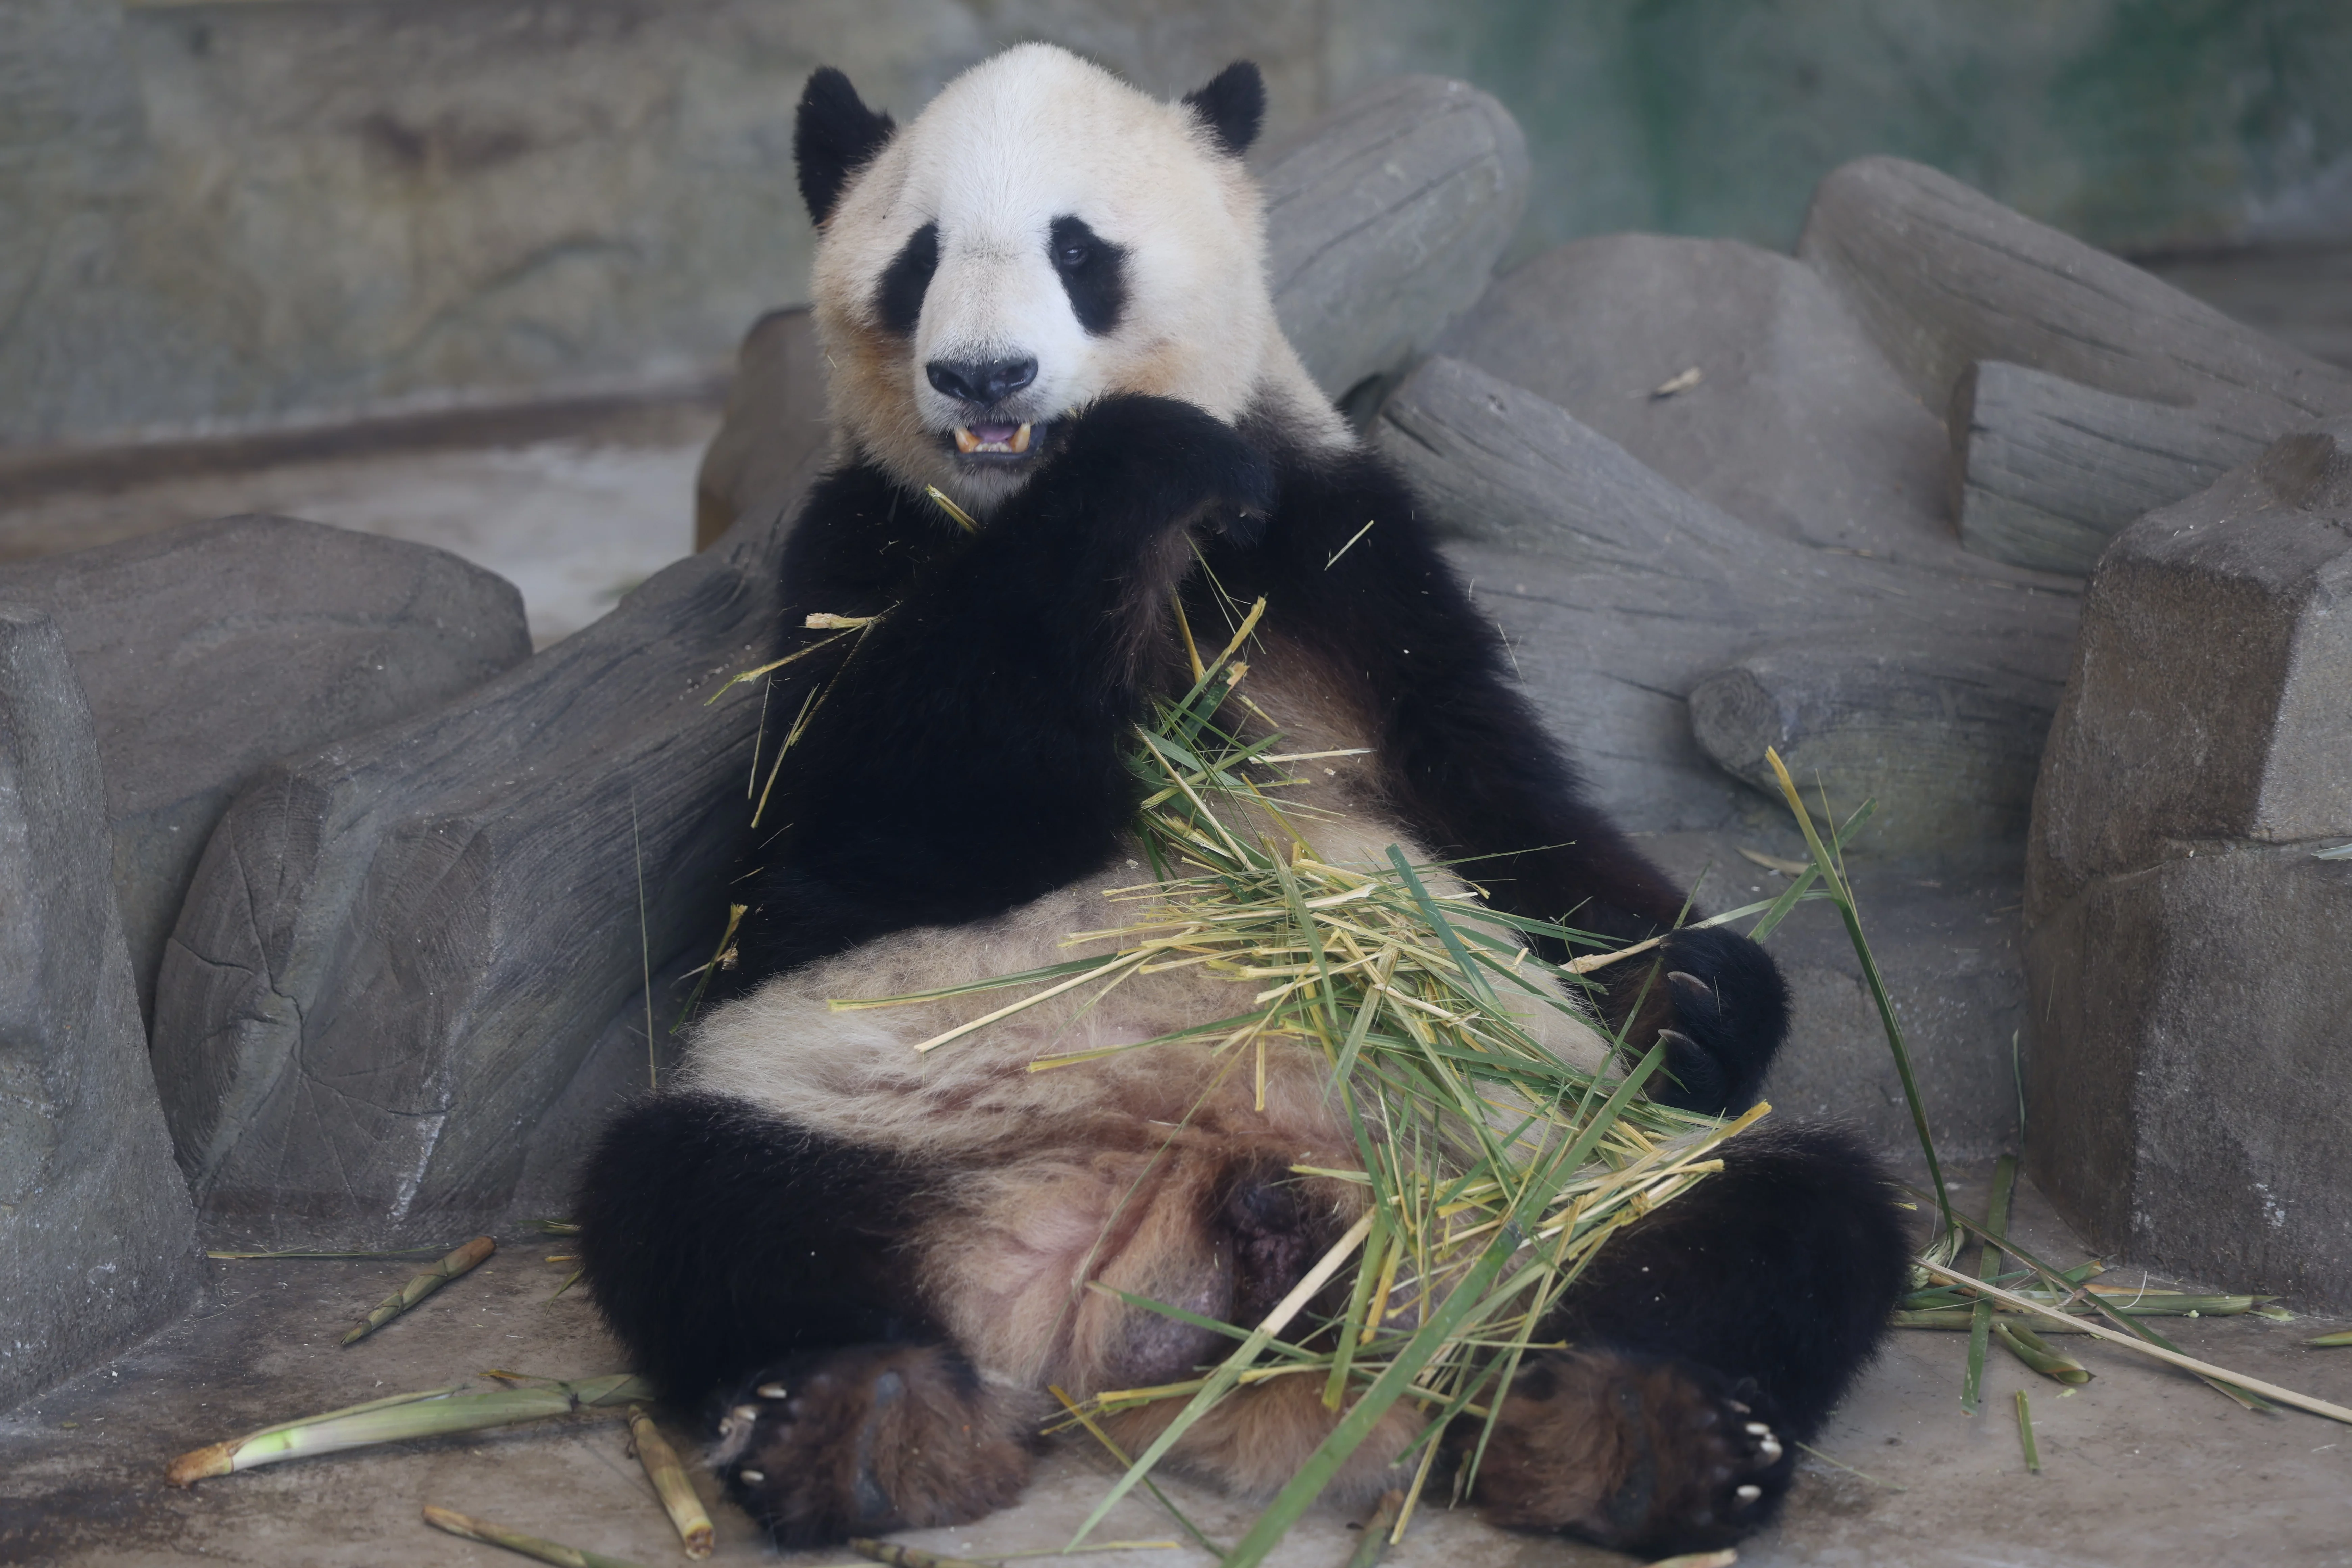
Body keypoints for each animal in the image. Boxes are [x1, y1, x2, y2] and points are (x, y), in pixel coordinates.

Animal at [579, 44, 1911, 1558]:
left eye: (1079, 250)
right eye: (918, 260)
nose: (984, 374)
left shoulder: (1351, 557)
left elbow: (1506, 804)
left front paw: (1689, 990)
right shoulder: (854, 562)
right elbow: (856, 848)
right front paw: (1143, 462)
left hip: (1549, 1170)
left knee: (1778, 1209)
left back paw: (1637, 1432)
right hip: (871, 1130)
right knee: (696, 1199)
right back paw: (857, 1422)